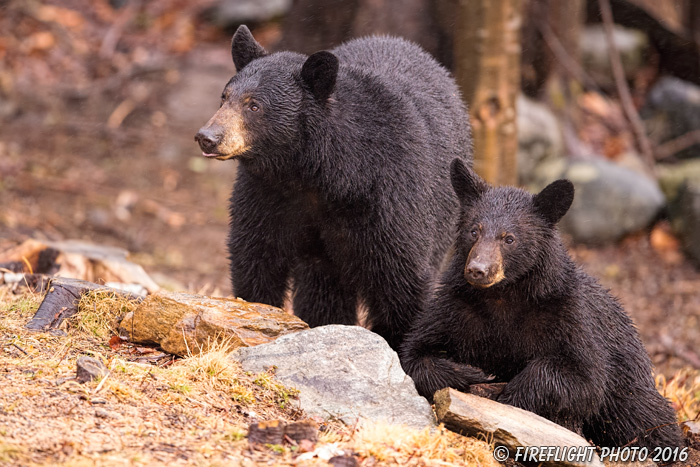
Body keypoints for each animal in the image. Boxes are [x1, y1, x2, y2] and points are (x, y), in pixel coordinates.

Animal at [194, 25, 474, 352]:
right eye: (224, 97)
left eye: (254, 105)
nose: (207, 137)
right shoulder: (266, 193)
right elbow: (256, 257)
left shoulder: (391, 197)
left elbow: (402, 278)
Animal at [402, 161, 680, 450]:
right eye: (474, 231)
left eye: (509, 238)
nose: (478, 270)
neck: (503, 297)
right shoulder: (454, 307)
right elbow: (415, 354)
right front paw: (471, 373)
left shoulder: (568, 316)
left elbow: (585, 379)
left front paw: (512, 391)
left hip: (631, 385)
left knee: (644, 417)